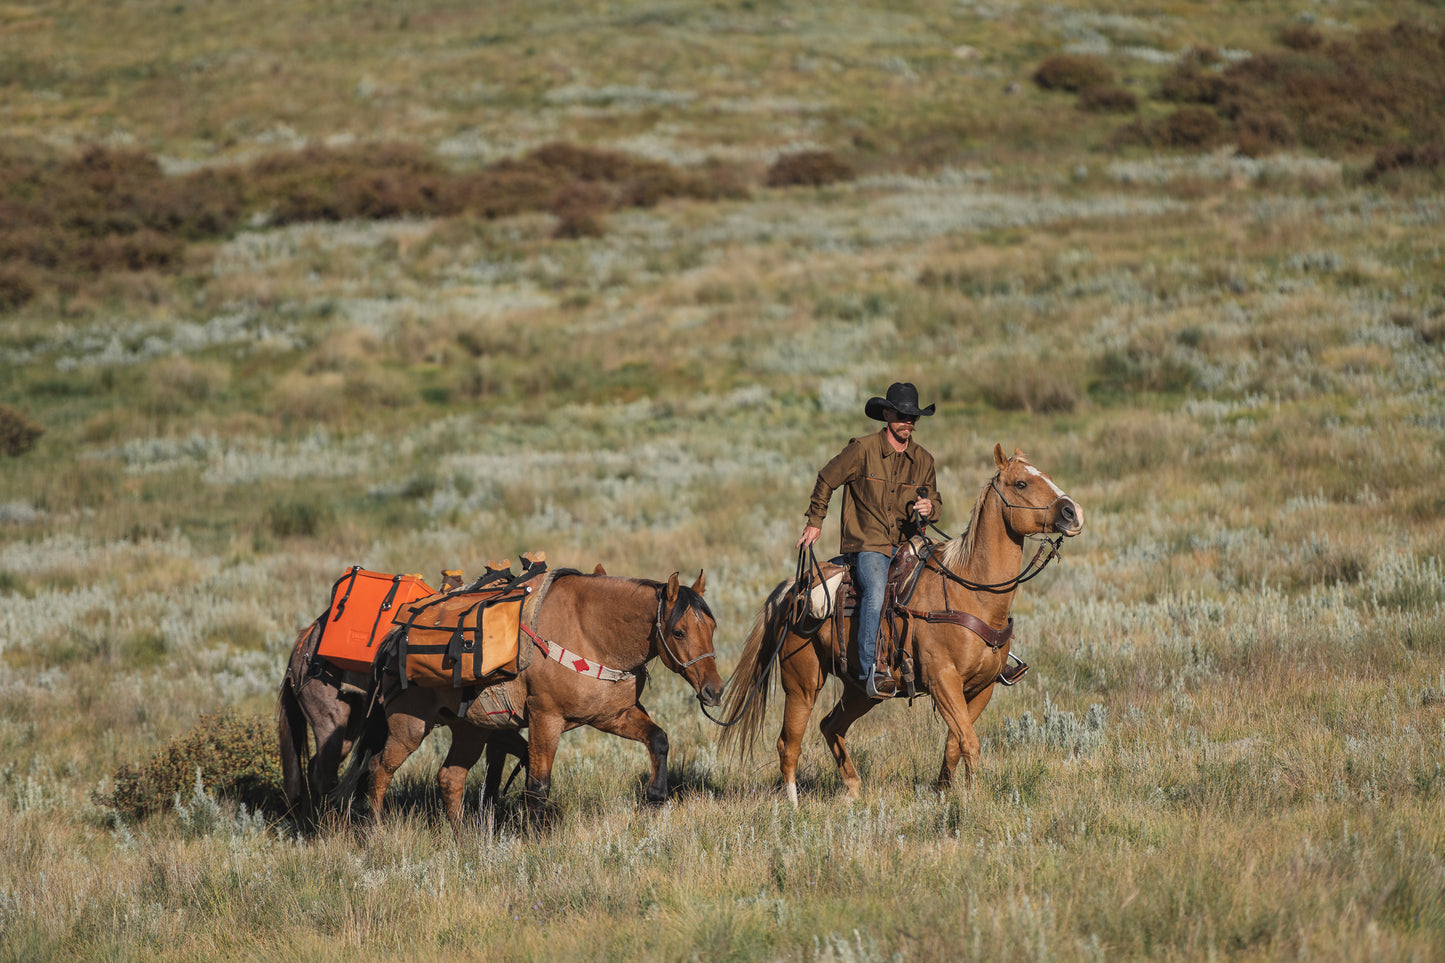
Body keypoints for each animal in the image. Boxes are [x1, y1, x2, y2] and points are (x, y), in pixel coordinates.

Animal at [278, 618, 528, 827]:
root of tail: (301, 645)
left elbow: (500, 768)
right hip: (331, 726)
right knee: (324, 776)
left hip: (349, 729)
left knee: (314, 768)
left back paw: (308, 822)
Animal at [354, 569, 722, 827]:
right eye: (679, 632)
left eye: (712, 627)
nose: (714, 690)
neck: (591, 634)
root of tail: (394, 637)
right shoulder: (545, 718)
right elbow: (538, 785)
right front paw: (534, 838)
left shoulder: (612, 715)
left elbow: (659, 739)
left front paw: (655, 797)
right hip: (409, 726)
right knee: (379, 771)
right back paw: (376, 833)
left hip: (470, 730)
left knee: (450, 779)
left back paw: (463, 837)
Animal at [716, 445, 1080, 798]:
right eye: (1021, 483)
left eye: (1047, 476)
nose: (1073, 512)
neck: (969, 590)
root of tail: (794, 588)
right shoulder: (942, 680)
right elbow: (969, 742)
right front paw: (974, 800)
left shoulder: (982, 687)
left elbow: (954, 743)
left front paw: (943, 792)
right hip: (802, 682)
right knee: (788, 744)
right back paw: (793, 807)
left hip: (862, 690)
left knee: (830, 726)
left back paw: (853, 790)